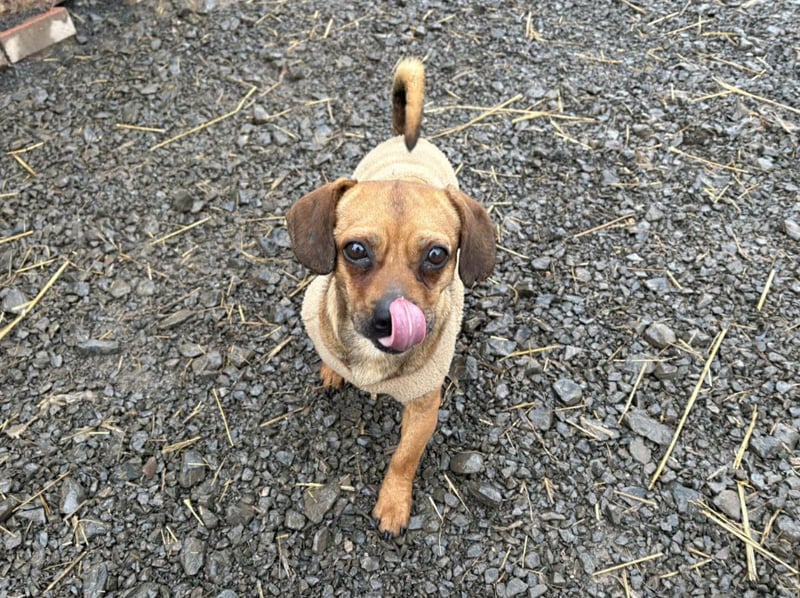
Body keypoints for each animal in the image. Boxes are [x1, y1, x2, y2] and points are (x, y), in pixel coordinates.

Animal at [286, 58, 496, 536]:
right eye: (355, 250)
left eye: (437, 255)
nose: (389, 318)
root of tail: (406, 140)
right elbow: (330, 357)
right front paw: (332, 370)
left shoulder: (423, 408)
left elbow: (404, 458)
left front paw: (394, 503)